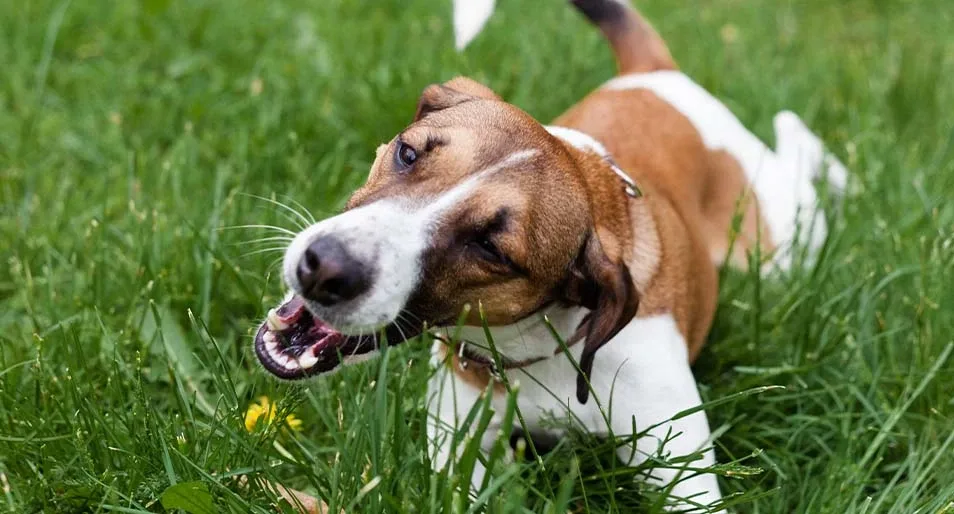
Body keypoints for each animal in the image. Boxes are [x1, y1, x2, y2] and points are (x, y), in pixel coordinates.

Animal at [251, 0, 840, 508]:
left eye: (490, 246)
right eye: (407, 152)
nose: (323, 267)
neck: (542, 347)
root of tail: (657, 75)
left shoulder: (684, 473)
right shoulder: (457, 448)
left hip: (782, 246)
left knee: (795, 149)